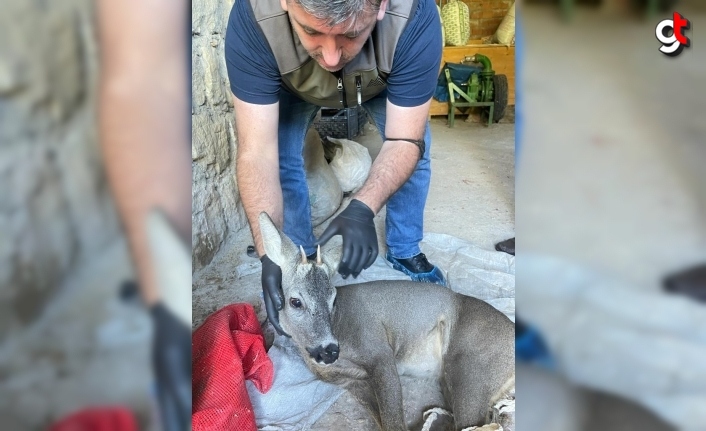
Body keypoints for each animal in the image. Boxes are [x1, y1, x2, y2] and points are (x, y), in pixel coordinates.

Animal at [258, 213, 512, 431]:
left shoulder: (378, 350)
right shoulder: (349, 381)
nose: (329, 350)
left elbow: (392, 420)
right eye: (295, 302)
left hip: (471, 366)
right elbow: (381, 420)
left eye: (333, 299)